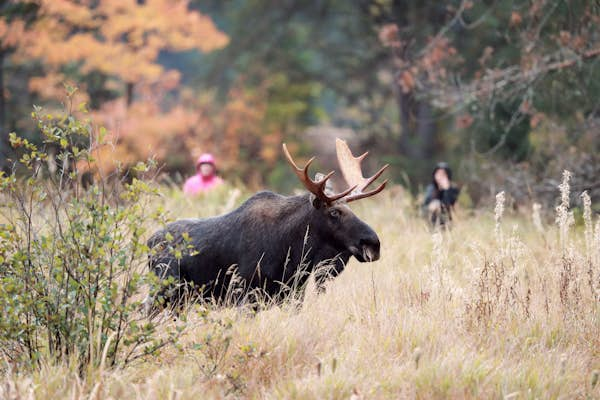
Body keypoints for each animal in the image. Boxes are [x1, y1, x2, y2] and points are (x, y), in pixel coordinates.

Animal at [148, 138, 386, 306]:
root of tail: (148, 244)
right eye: (334, 212)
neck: (294, 252)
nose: (373, 243)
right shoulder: (244, 295)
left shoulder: (292, 295)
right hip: (162, 293)